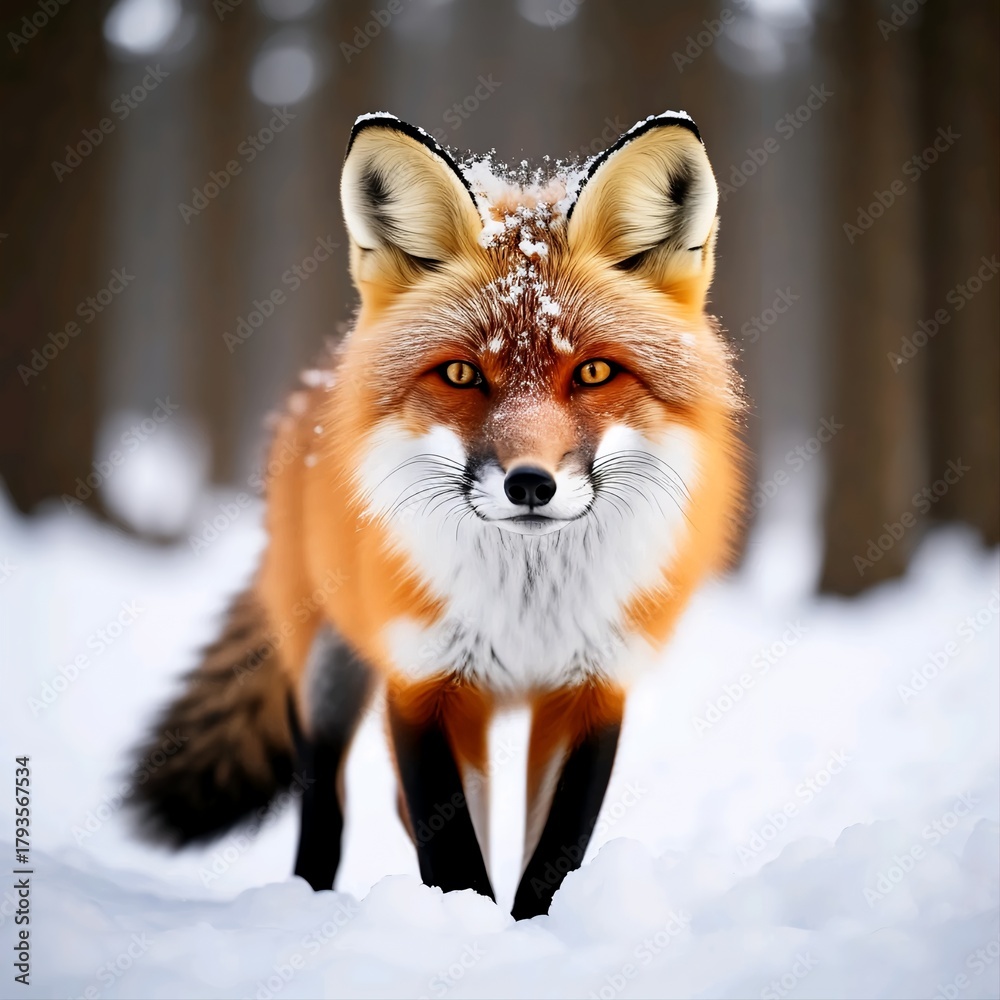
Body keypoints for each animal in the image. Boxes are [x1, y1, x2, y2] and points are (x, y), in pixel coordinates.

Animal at [132, 110, 745, 919]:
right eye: (461, 373)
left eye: (593, 371)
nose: (529, 485)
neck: (527, 606)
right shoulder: (422, 679)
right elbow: (453, 854)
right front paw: (467, 927)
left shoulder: (593, 686)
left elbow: (552, 857)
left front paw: (527, 931)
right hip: (327, 675)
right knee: (325, 804)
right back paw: (307, 900)